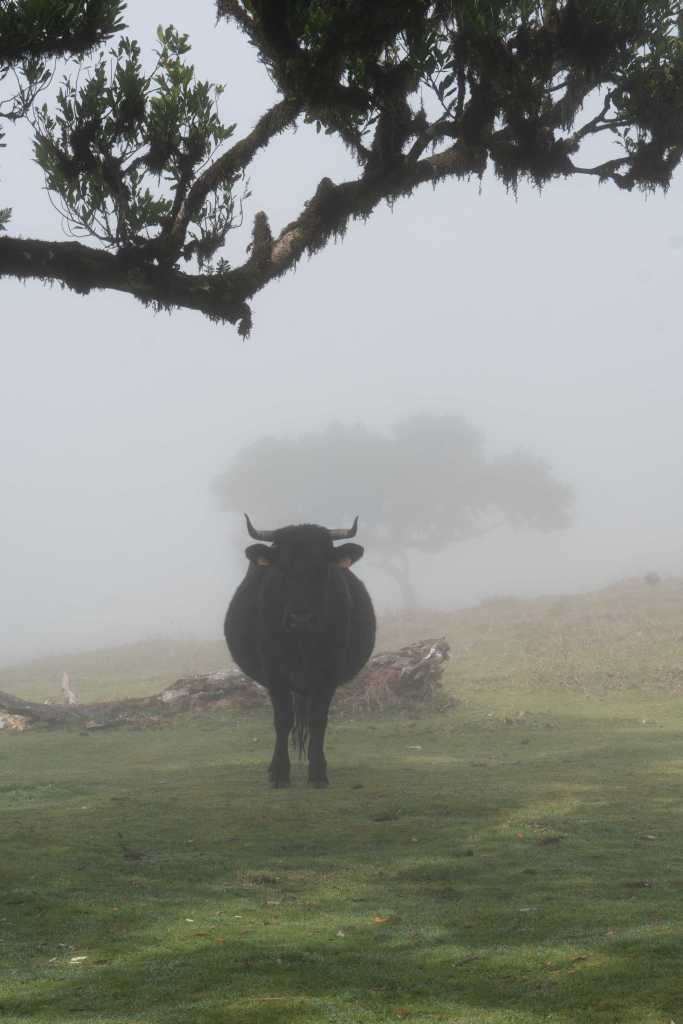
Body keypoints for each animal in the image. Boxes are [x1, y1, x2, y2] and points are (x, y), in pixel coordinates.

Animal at [224, 515, 376, 787]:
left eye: (321, 569)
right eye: (282, 570)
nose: (300, 618)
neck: (302, 641)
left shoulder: (328, 673)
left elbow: (318, 720)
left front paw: (318, 772)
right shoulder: (274, 673)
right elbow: (283, 719)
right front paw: (279, 772)